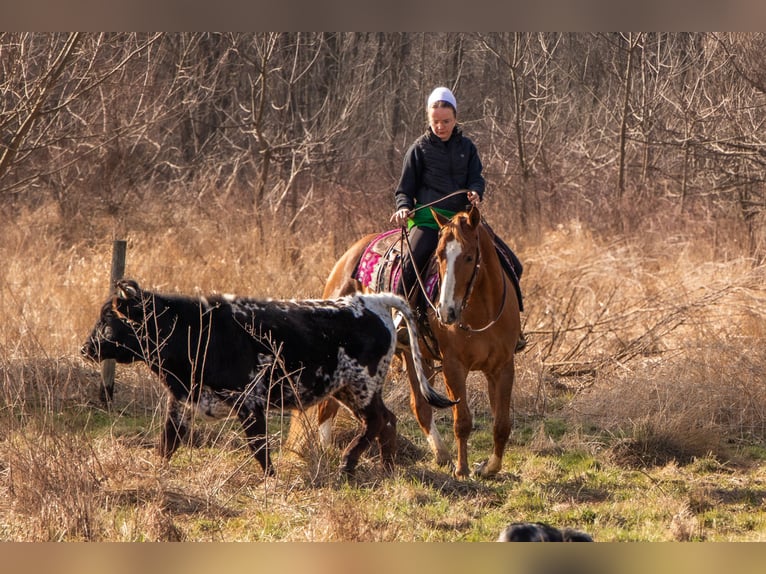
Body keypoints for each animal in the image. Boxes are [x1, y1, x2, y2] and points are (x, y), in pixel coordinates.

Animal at [82, 280, 456, 476]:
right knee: (388, 420)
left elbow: (258, 447)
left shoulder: (250, 403)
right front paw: (158, 471)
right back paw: (387, 467)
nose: (85, 347)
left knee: (378, 420)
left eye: (107, 321)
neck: (196, 331)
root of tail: (370, 300)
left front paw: (269, 478)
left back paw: (348, 463)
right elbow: (168, 440)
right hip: (349, 389)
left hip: (360, 387)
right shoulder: (182, 399)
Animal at [312, 207, 520, 482]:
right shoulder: (454, 366)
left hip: (416, 357)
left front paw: (488, 467)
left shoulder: (503, 367)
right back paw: (326, 448)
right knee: (331, 404)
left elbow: (501, 424)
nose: (446, 311)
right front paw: (462, 469)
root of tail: (349, 257)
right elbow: (462, 421)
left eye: (468, 257)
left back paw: (441, 454)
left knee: (420, 406)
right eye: (439, 256)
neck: (480, 312)